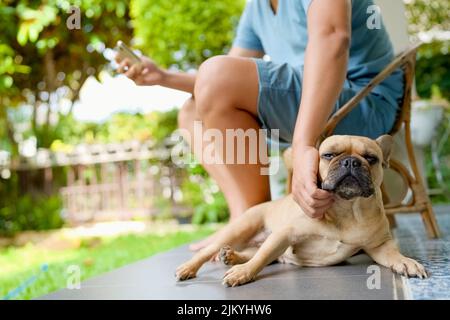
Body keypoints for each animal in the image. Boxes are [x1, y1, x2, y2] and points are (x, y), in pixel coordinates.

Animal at [174, 135, 428, 288]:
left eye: (370, 158)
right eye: (328, 155)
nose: (350, 162)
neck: (347, 208)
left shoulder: (379, 245)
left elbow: (393, 254)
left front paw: (407, 262)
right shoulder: (285, 234)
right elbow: (262, 257)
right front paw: (244, 273)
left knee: (256, 252)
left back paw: (232, 257)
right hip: (241, 229)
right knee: (214, 251)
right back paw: (191, 267)